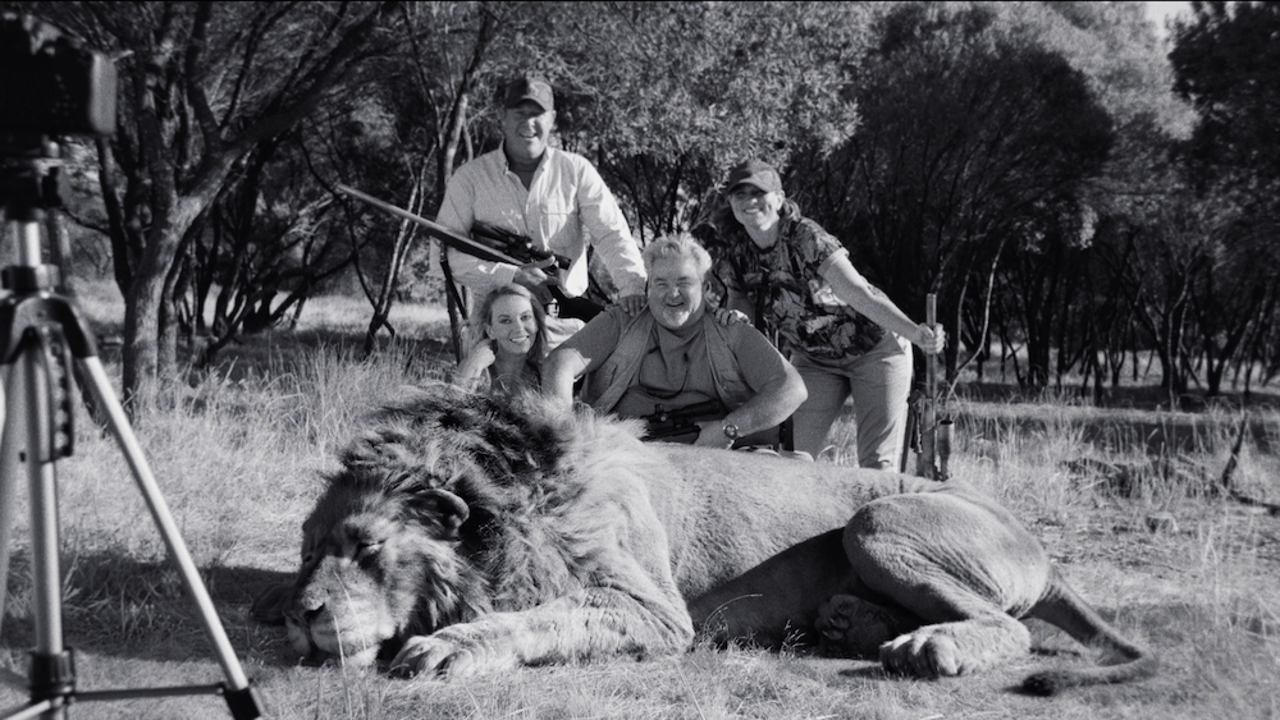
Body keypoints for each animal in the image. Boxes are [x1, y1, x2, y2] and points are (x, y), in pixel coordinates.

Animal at [254, 384, 1157, 691]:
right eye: (306, 551)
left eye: (369, 548)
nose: (302, 615)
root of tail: (1039, 544)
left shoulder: (655, 611)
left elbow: (536, 617)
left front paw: (450, 646)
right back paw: (855, 624)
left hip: (879, 521)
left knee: (1010, 626)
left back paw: (927, 646)